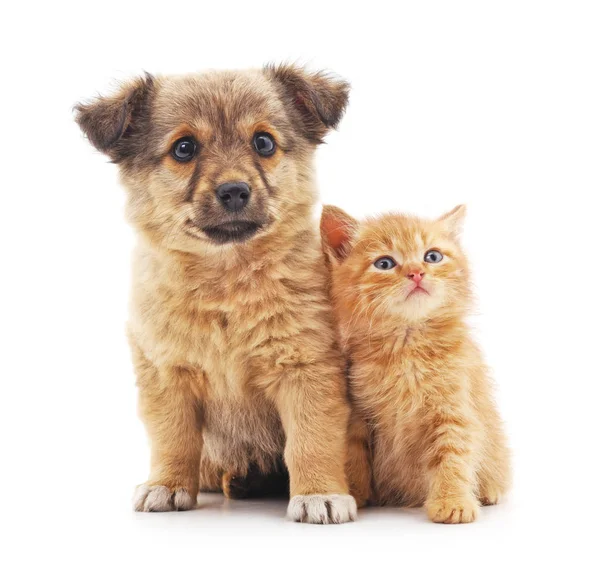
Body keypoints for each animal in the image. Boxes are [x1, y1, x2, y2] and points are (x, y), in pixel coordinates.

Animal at [74, 65, 356, 524]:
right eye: (184, 148)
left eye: (264, 142)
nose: (235, 191)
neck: (227, 281)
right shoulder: (166, 375)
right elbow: (173, 438)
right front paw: (167, 484)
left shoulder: (306, 371)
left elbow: (310, 439)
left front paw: (319, 493)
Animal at [322, 204, 508, 524]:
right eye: (384, 263)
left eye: (432, 256)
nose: (416, 273)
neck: (405, 348)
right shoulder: (358, 414)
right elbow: (354, 454)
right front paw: (354, 494)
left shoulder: (453, 409)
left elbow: (452, 454)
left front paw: (452, 501)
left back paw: (489, 491)